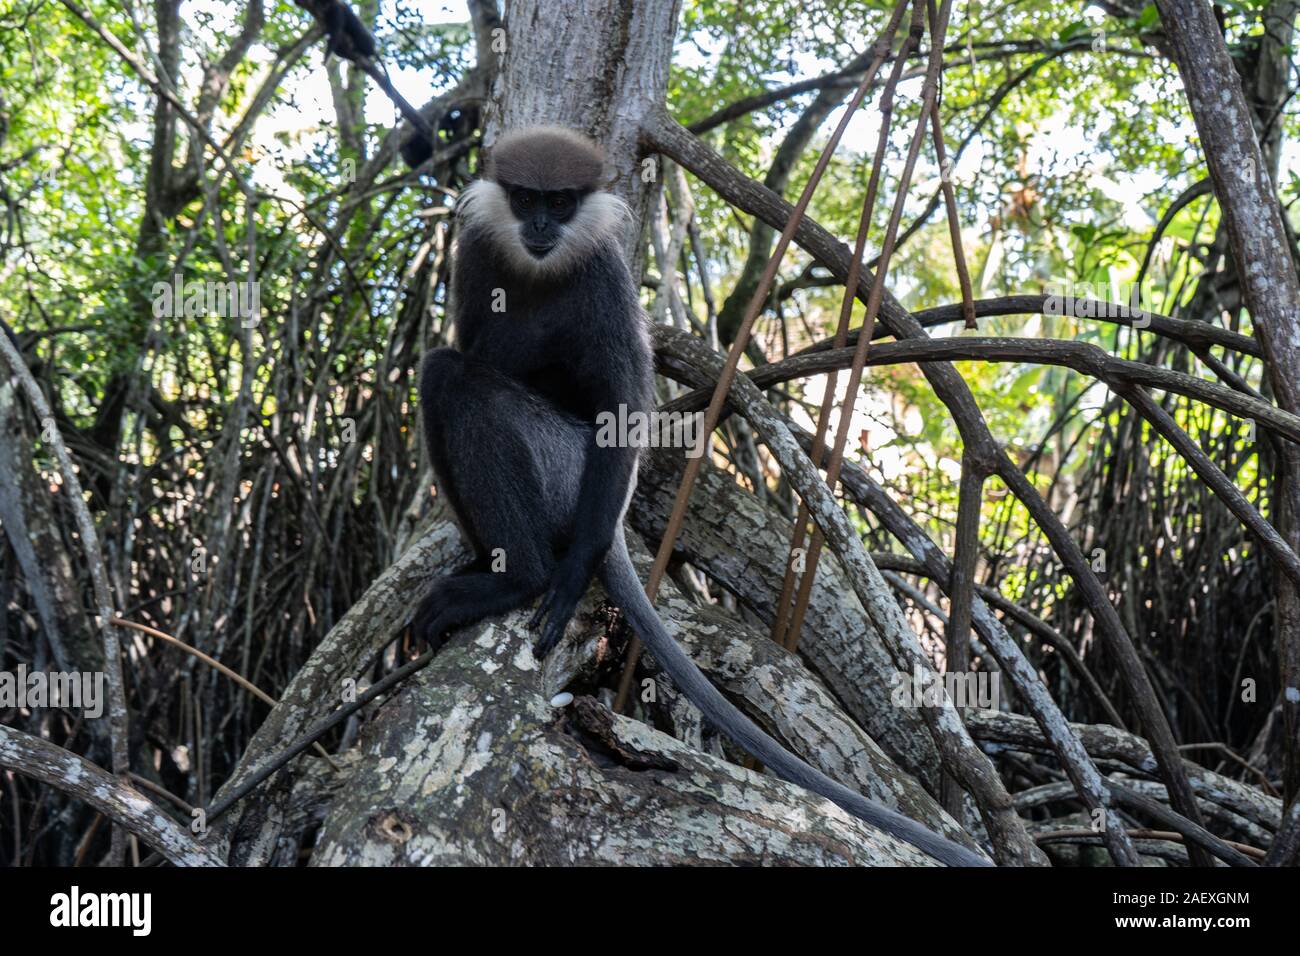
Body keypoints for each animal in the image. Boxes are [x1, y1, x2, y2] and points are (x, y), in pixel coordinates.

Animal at [413, 125, 982, 868]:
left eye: (560, 203)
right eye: (527, 199)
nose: (540, 227)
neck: (541, 266)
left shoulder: (604, 275)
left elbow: (623, 408)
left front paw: (566, 574)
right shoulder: (478, 245)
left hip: (565, 466)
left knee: (457, 381)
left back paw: (526, 574)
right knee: (442, 372)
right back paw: (493, 562)